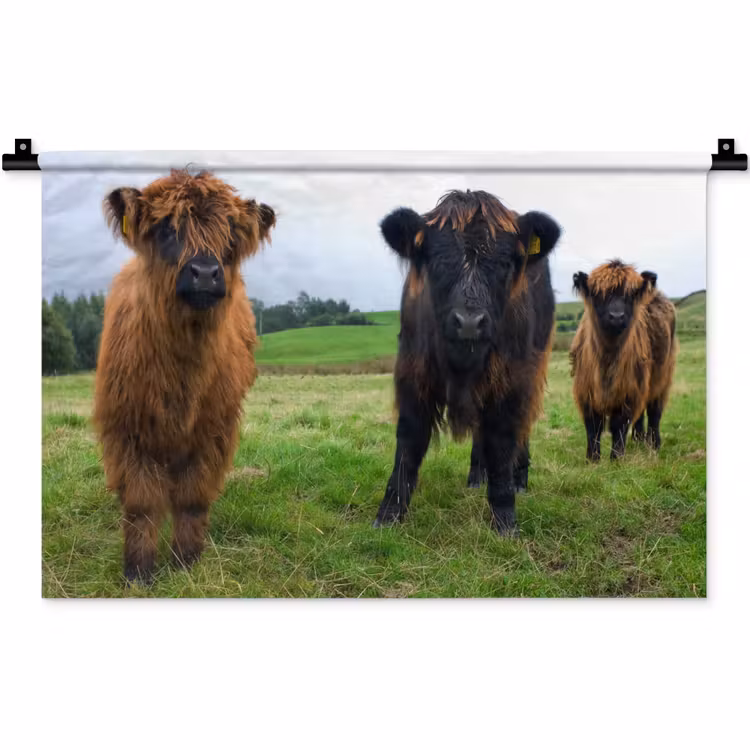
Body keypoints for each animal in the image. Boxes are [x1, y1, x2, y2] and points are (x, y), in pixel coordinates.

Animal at [93, 169, 276, 583]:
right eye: (166, 228)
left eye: (230, 233)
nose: (205, 273)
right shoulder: (127, 430)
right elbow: (141, 503)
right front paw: (139, 571)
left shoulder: (213, 431)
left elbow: (193, 497)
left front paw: (186, 561)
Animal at [374, 190, 561, 535]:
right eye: (436, 260)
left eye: (505, 263)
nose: (470, 322)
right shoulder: (412, 373)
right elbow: (409, 441)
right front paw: (389, 514)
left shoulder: (511, 380)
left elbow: (502, 442)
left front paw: (505, 519)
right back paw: (476, 476)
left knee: (522, 427)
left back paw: (520, 480)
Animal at [570, 259, 677, 461]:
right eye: (599, 294)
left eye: (630, 295)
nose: (617, 316)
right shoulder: (585, 390)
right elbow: (593, 426)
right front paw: (592, 458)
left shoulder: (628, 390)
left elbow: (619, 424)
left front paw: (616, 458)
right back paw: (638, 439)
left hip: (662, 377)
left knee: (654, 411)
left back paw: (654, 444)